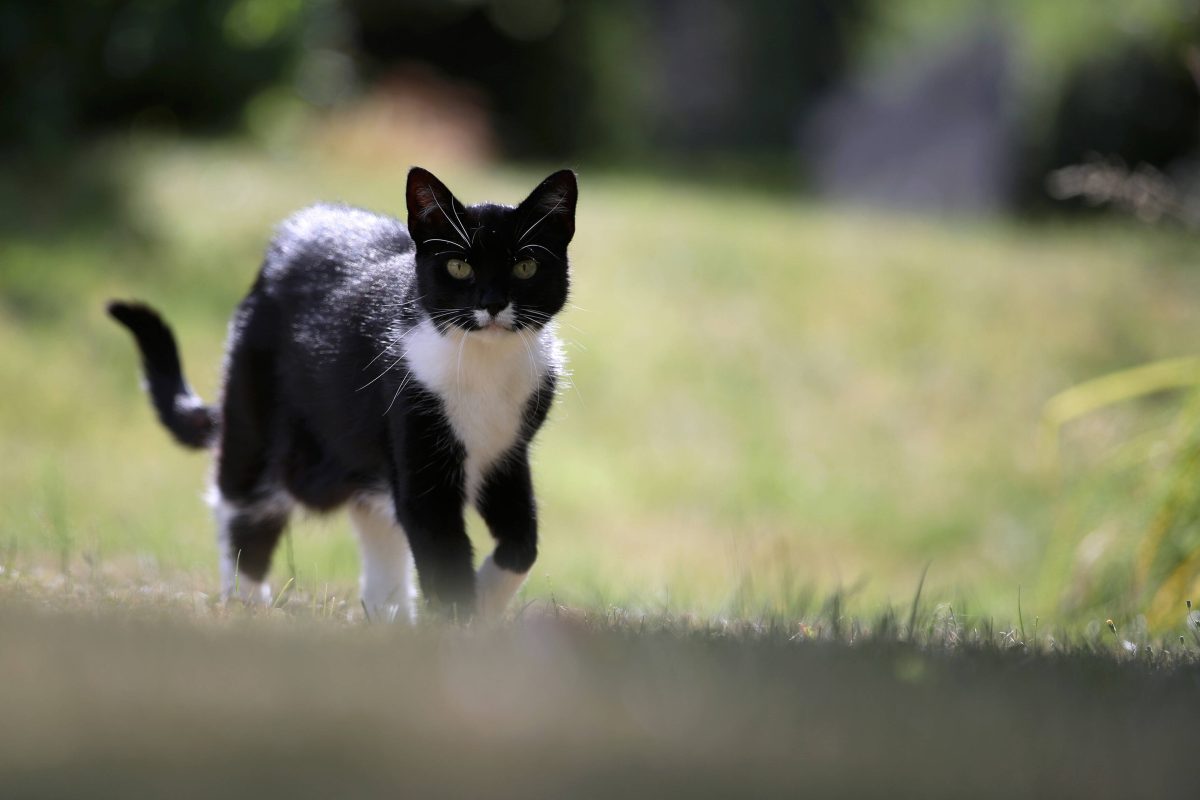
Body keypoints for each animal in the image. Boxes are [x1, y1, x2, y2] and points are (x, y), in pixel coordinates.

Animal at [110, 167, 578, 618]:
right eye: (459, 267)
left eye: (525, 267)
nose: (493, 303)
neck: (483, 362)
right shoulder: (418, 443)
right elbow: (442, 552)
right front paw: (461, 619)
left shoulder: (508, 452)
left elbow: (522, 545)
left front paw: (483, 602)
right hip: (257, 411)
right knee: (243, 505)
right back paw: (246, 604)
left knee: (376, 525)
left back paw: (388, 618)